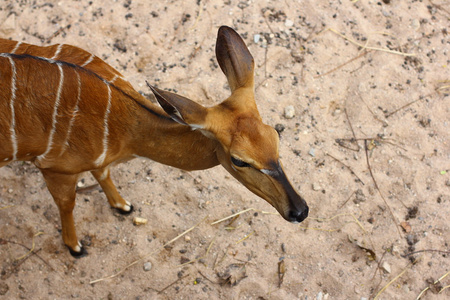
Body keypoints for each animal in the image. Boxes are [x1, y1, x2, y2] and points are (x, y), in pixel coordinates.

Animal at [0, 25, 308, 256]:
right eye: (239, 160)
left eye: (275, 135)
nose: (300, 210)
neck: (126, 130)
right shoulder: (55, 168)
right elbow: (67, 204)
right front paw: (75, 246)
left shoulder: (96, 161)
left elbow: (103, 173)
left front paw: (123, 206)